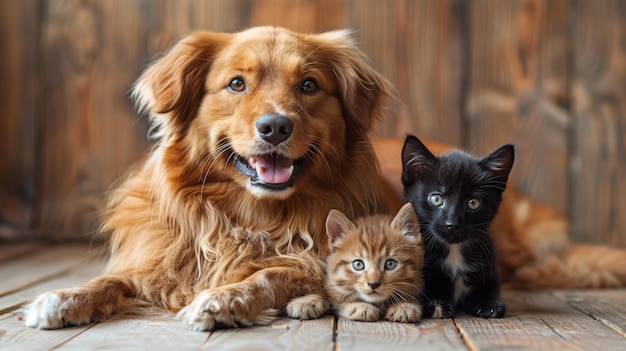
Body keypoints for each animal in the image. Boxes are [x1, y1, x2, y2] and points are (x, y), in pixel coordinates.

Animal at [400, 135, 512, 320]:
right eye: (436, 199)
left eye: (473, 203)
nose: (452, 224)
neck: (454, 251)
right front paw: (437, 303)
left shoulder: (489, 266)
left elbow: (488, 288)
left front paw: (488, 303)